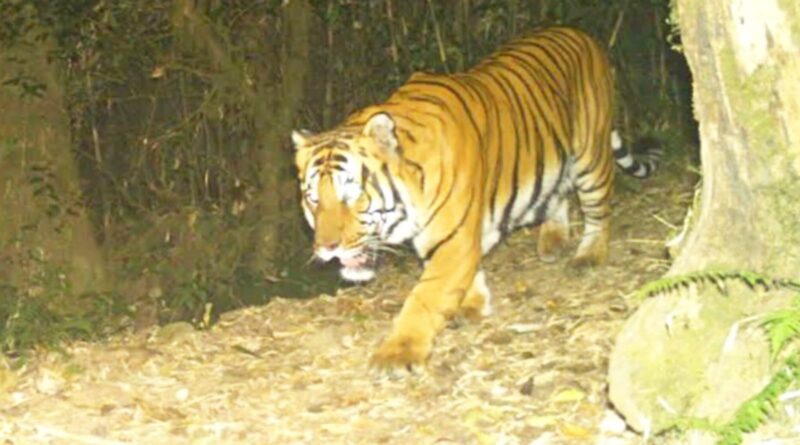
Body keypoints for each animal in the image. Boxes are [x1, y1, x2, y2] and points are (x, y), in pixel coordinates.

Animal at [292, 26, 660, 368]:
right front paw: (474, 304)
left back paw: (589, 255)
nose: (326, 249)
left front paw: (398, 353)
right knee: (559, 192)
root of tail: (581, 33)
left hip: (590, 153)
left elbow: (426, 295)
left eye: (352, 194)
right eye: (313, 199)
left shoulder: (453, 238)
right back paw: (552, 240)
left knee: (599, 208)